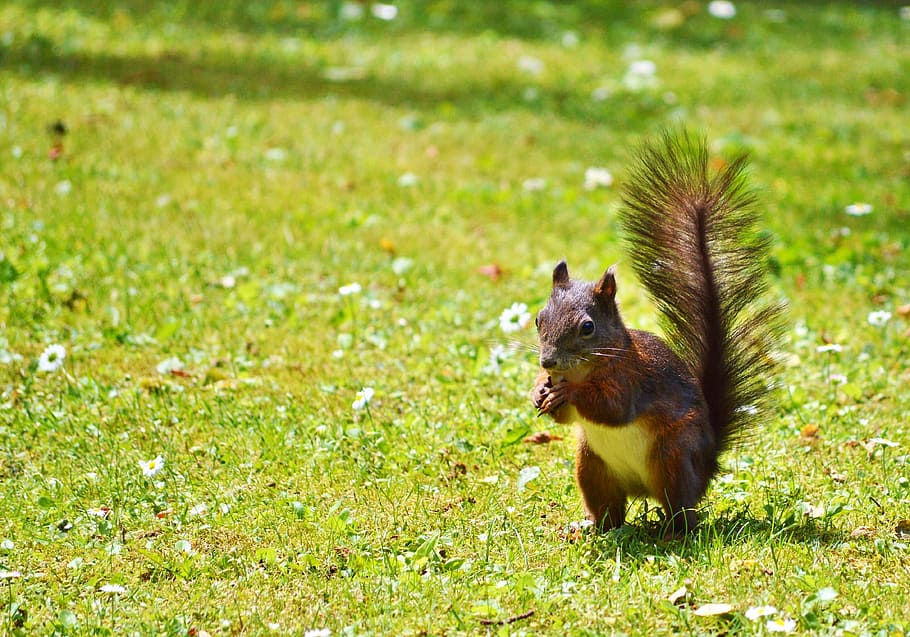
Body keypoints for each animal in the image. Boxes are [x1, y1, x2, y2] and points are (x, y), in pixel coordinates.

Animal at [531, 130, 782, 537]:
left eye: (588, 327)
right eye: (539, 319)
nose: (547, 361)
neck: (583, 369)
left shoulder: (631, 379)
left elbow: (613, 408)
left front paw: (570, 392)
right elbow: (565, 418)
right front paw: (539, 391)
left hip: (673, 457)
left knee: (683, 511)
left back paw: (670, 534)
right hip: (592, 466)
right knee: (611, 512)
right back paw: (590, 527)